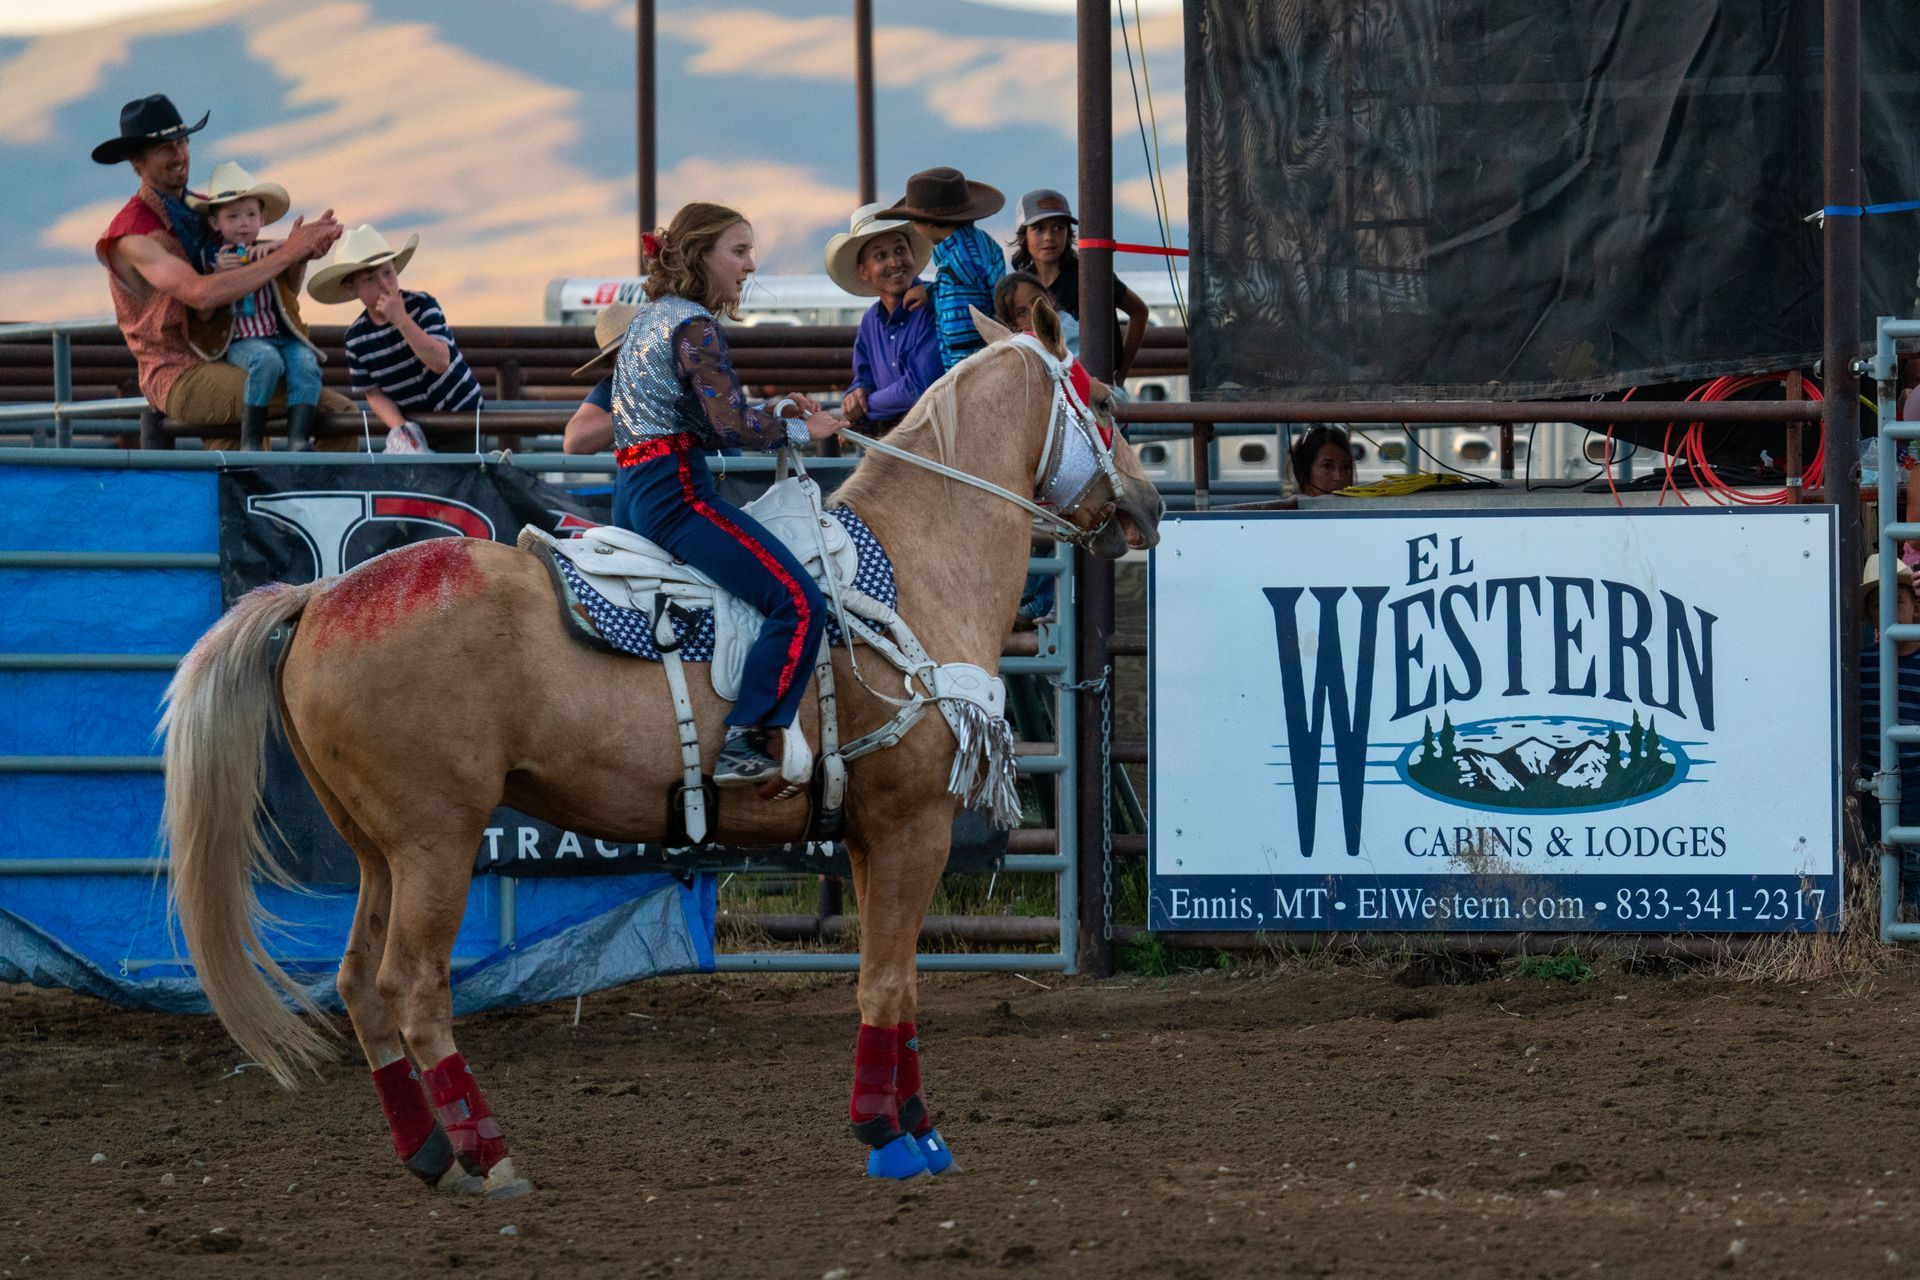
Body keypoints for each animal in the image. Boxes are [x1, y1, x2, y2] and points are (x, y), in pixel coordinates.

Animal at [157, 305, 1159, 1197]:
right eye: (1107, 401)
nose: (1148, 507)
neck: (910, 572)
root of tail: (319, 597)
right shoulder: (915, 828)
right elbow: (883, 984)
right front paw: (888, 1136)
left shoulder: (874, 836)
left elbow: (901, 983)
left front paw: (917, 1128)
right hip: (437, 843)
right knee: (412, 985)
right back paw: (491, 1158)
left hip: (376, 849)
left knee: (361, 984)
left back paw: (431, 1154)